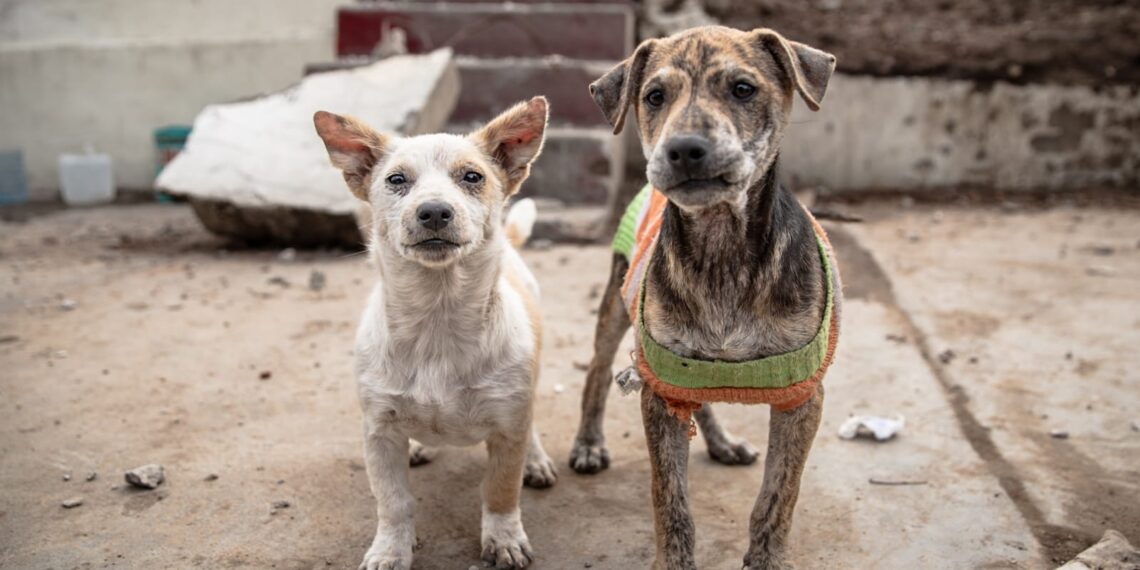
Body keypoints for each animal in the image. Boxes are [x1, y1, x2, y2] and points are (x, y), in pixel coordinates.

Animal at [314, 98, 558, 570]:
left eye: (472, 177)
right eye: (396, 180)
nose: (433, 212)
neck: (437, 322)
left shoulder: (507, 427)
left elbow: (501, 491)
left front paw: (504, 538)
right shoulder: (378, 432)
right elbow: (393, 502)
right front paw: (390, 550)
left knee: (533, 425)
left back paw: (536, 460)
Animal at [567, 24, 839, 567]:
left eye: (743, 89)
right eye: (654, 96)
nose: (684, 150)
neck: (721, 251)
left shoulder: (802, 396)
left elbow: (779, 495)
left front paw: (767, 558)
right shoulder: (659, 386)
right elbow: (670, 498)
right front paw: (674, 559)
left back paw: (723, 442)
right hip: (616, 303)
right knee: (598, 370)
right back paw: (588, 443)